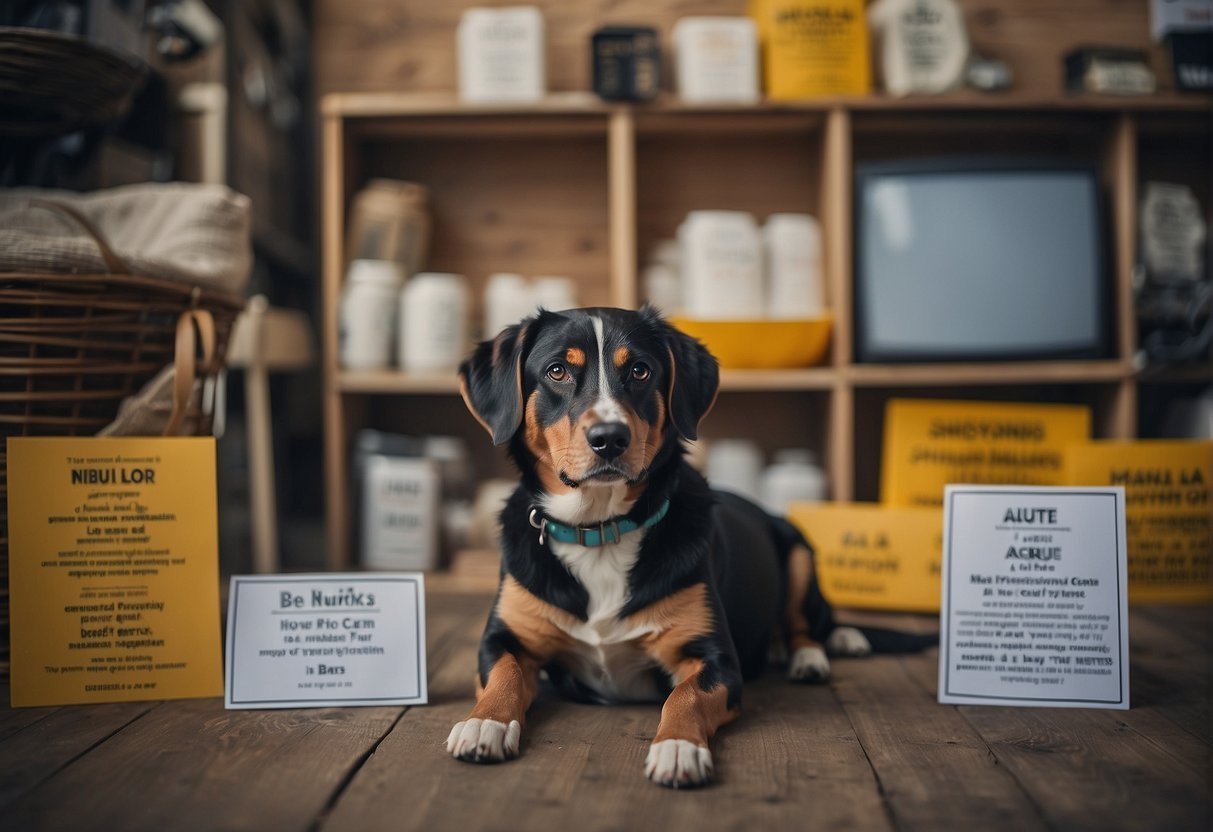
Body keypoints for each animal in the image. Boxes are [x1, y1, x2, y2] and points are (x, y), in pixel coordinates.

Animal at [451, 306, 921, 790]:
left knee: (811, 623)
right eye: (557, 371)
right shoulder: (505, 638)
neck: (601, 531)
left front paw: (678, 747)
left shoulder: (715, 659)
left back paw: (818, 652)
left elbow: (684, 696)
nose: (609, 437)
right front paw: (484, 722)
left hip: (799, 552)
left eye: (640, 370)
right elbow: (503, 674)